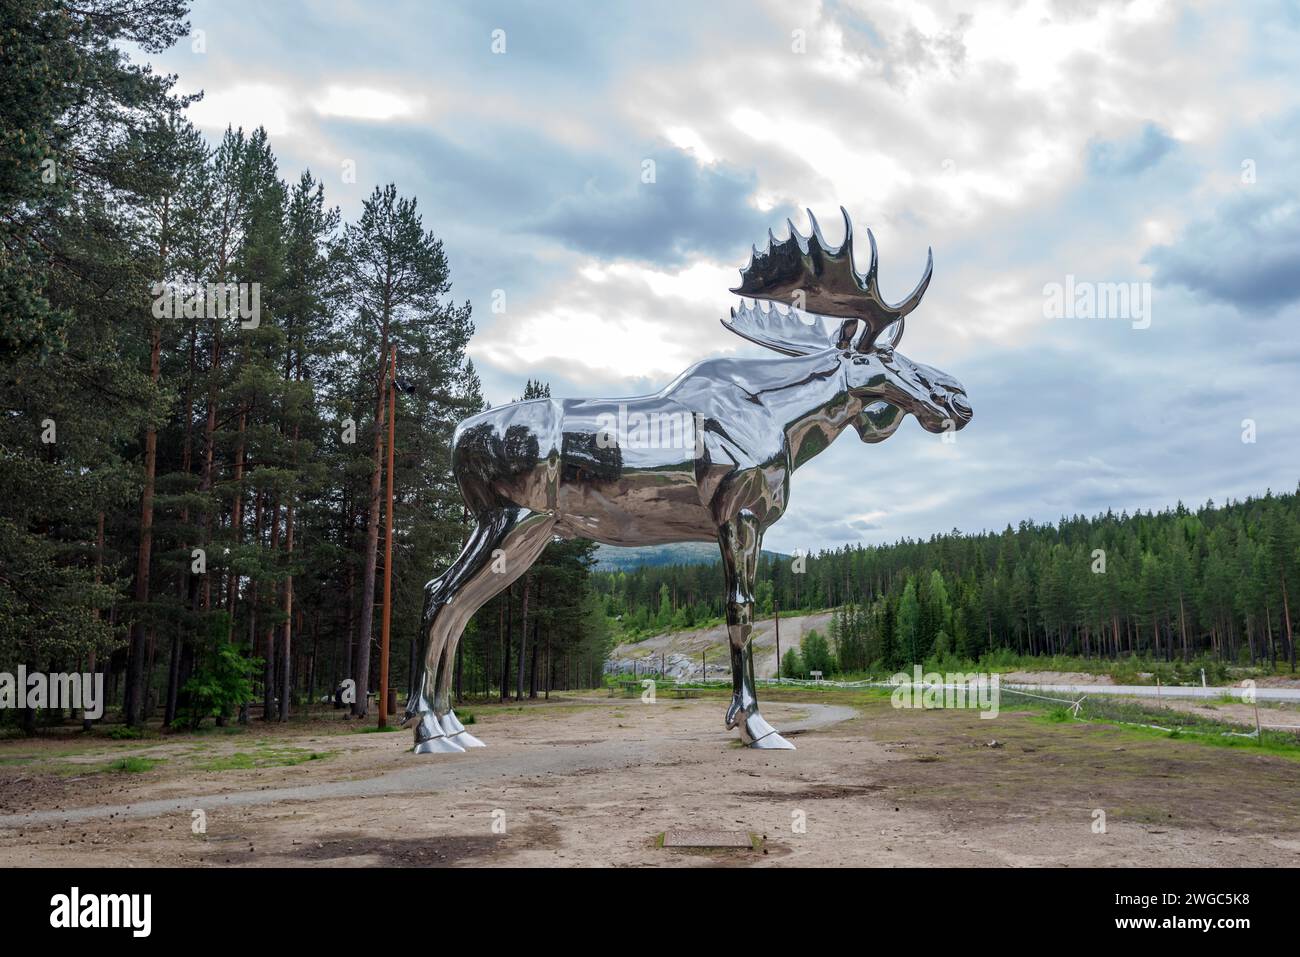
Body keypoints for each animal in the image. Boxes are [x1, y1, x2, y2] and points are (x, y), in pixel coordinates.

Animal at [400, 209, 972, 754]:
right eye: (888, 354)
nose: (958, 398)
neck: (791, 425)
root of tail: (456, 438)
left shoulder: (751, 523)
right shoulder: (738, 513)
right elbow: (740, 611)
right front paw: (753, 724)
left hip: (530, 533)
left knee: (459, 607)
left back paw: (452, 726)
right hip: (508, 517)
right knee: (438, 595)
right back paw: (428, 729)